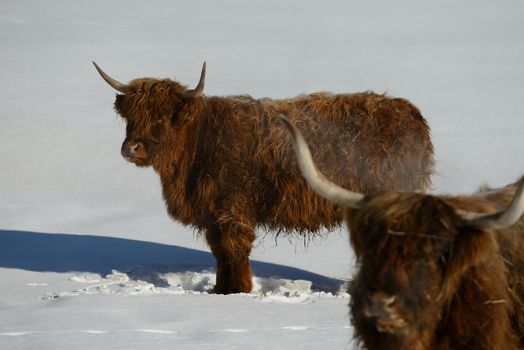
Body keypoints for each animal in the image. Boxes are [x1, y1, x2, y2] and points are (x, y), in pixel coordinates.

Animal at [93, 61, 434, 294]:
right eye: (131, 117)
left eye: (162, 117)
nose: (131, 148)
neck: (199, 143)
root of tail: (410, 113)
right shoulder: (214, 216)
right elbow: (220, 254)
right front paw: (220, 290)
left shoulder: (232, 210)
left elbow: (234, 251)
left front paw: (238, 291)